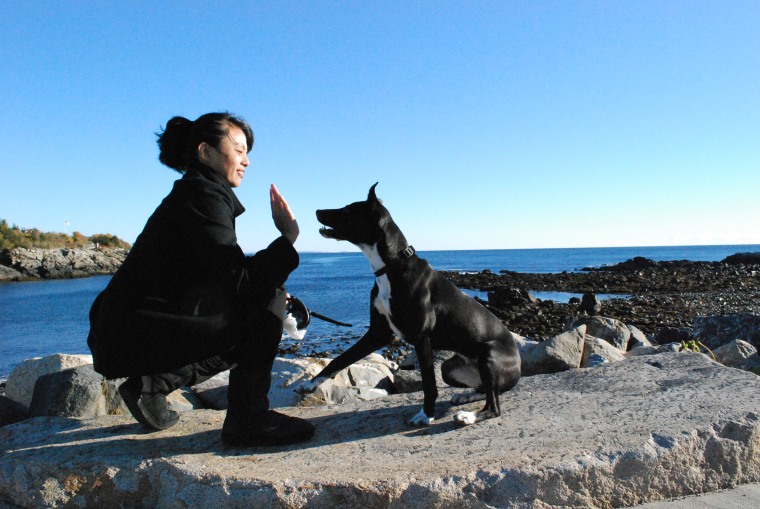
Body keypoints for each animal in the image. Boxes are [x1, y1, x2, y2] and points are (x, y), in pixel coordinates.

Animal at [296, 184, 524, 424]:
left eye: (348, 210)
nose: (318, 210)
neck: (391, 266)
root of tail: (518, 366)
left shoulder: (421, 338)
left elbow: (429, 384)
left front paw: (426, 415)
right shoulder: (377, 333)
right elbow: (340, 359)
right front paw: (309, 384)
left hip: (488, 355)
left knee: (494, 405)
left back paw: (468, 416)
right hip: (450, 367)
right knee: (489, 390)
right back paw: (465, 396)